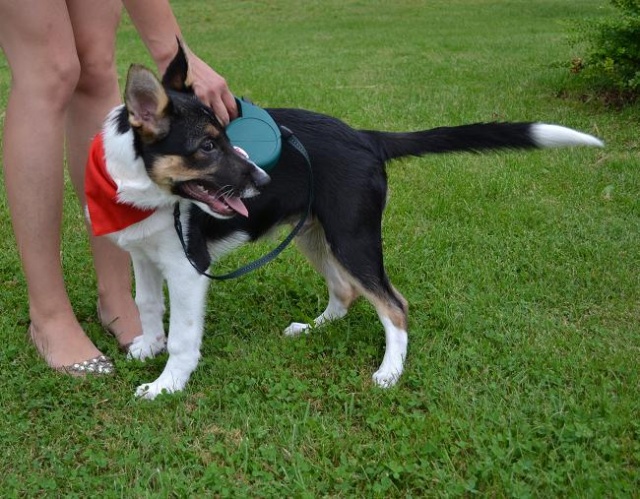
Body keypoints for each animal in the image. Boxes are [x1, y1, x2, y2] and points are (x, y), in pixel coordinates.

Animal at [86, 46, 603, 399]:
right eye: (208, 146)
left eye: (225, 138)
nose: (262, 177)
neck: (145, 192)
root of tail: (366, 137)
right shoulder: (144, 256)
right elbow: (148, 306)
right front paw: (147, 347)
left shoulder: (189, 269)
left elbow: (183, 336)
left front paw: (166, 384)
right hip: (317, 234)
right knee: (347, 290)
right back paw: (316, 328)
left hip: (352, 237)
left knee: (394, 304)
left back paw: (390, 372)